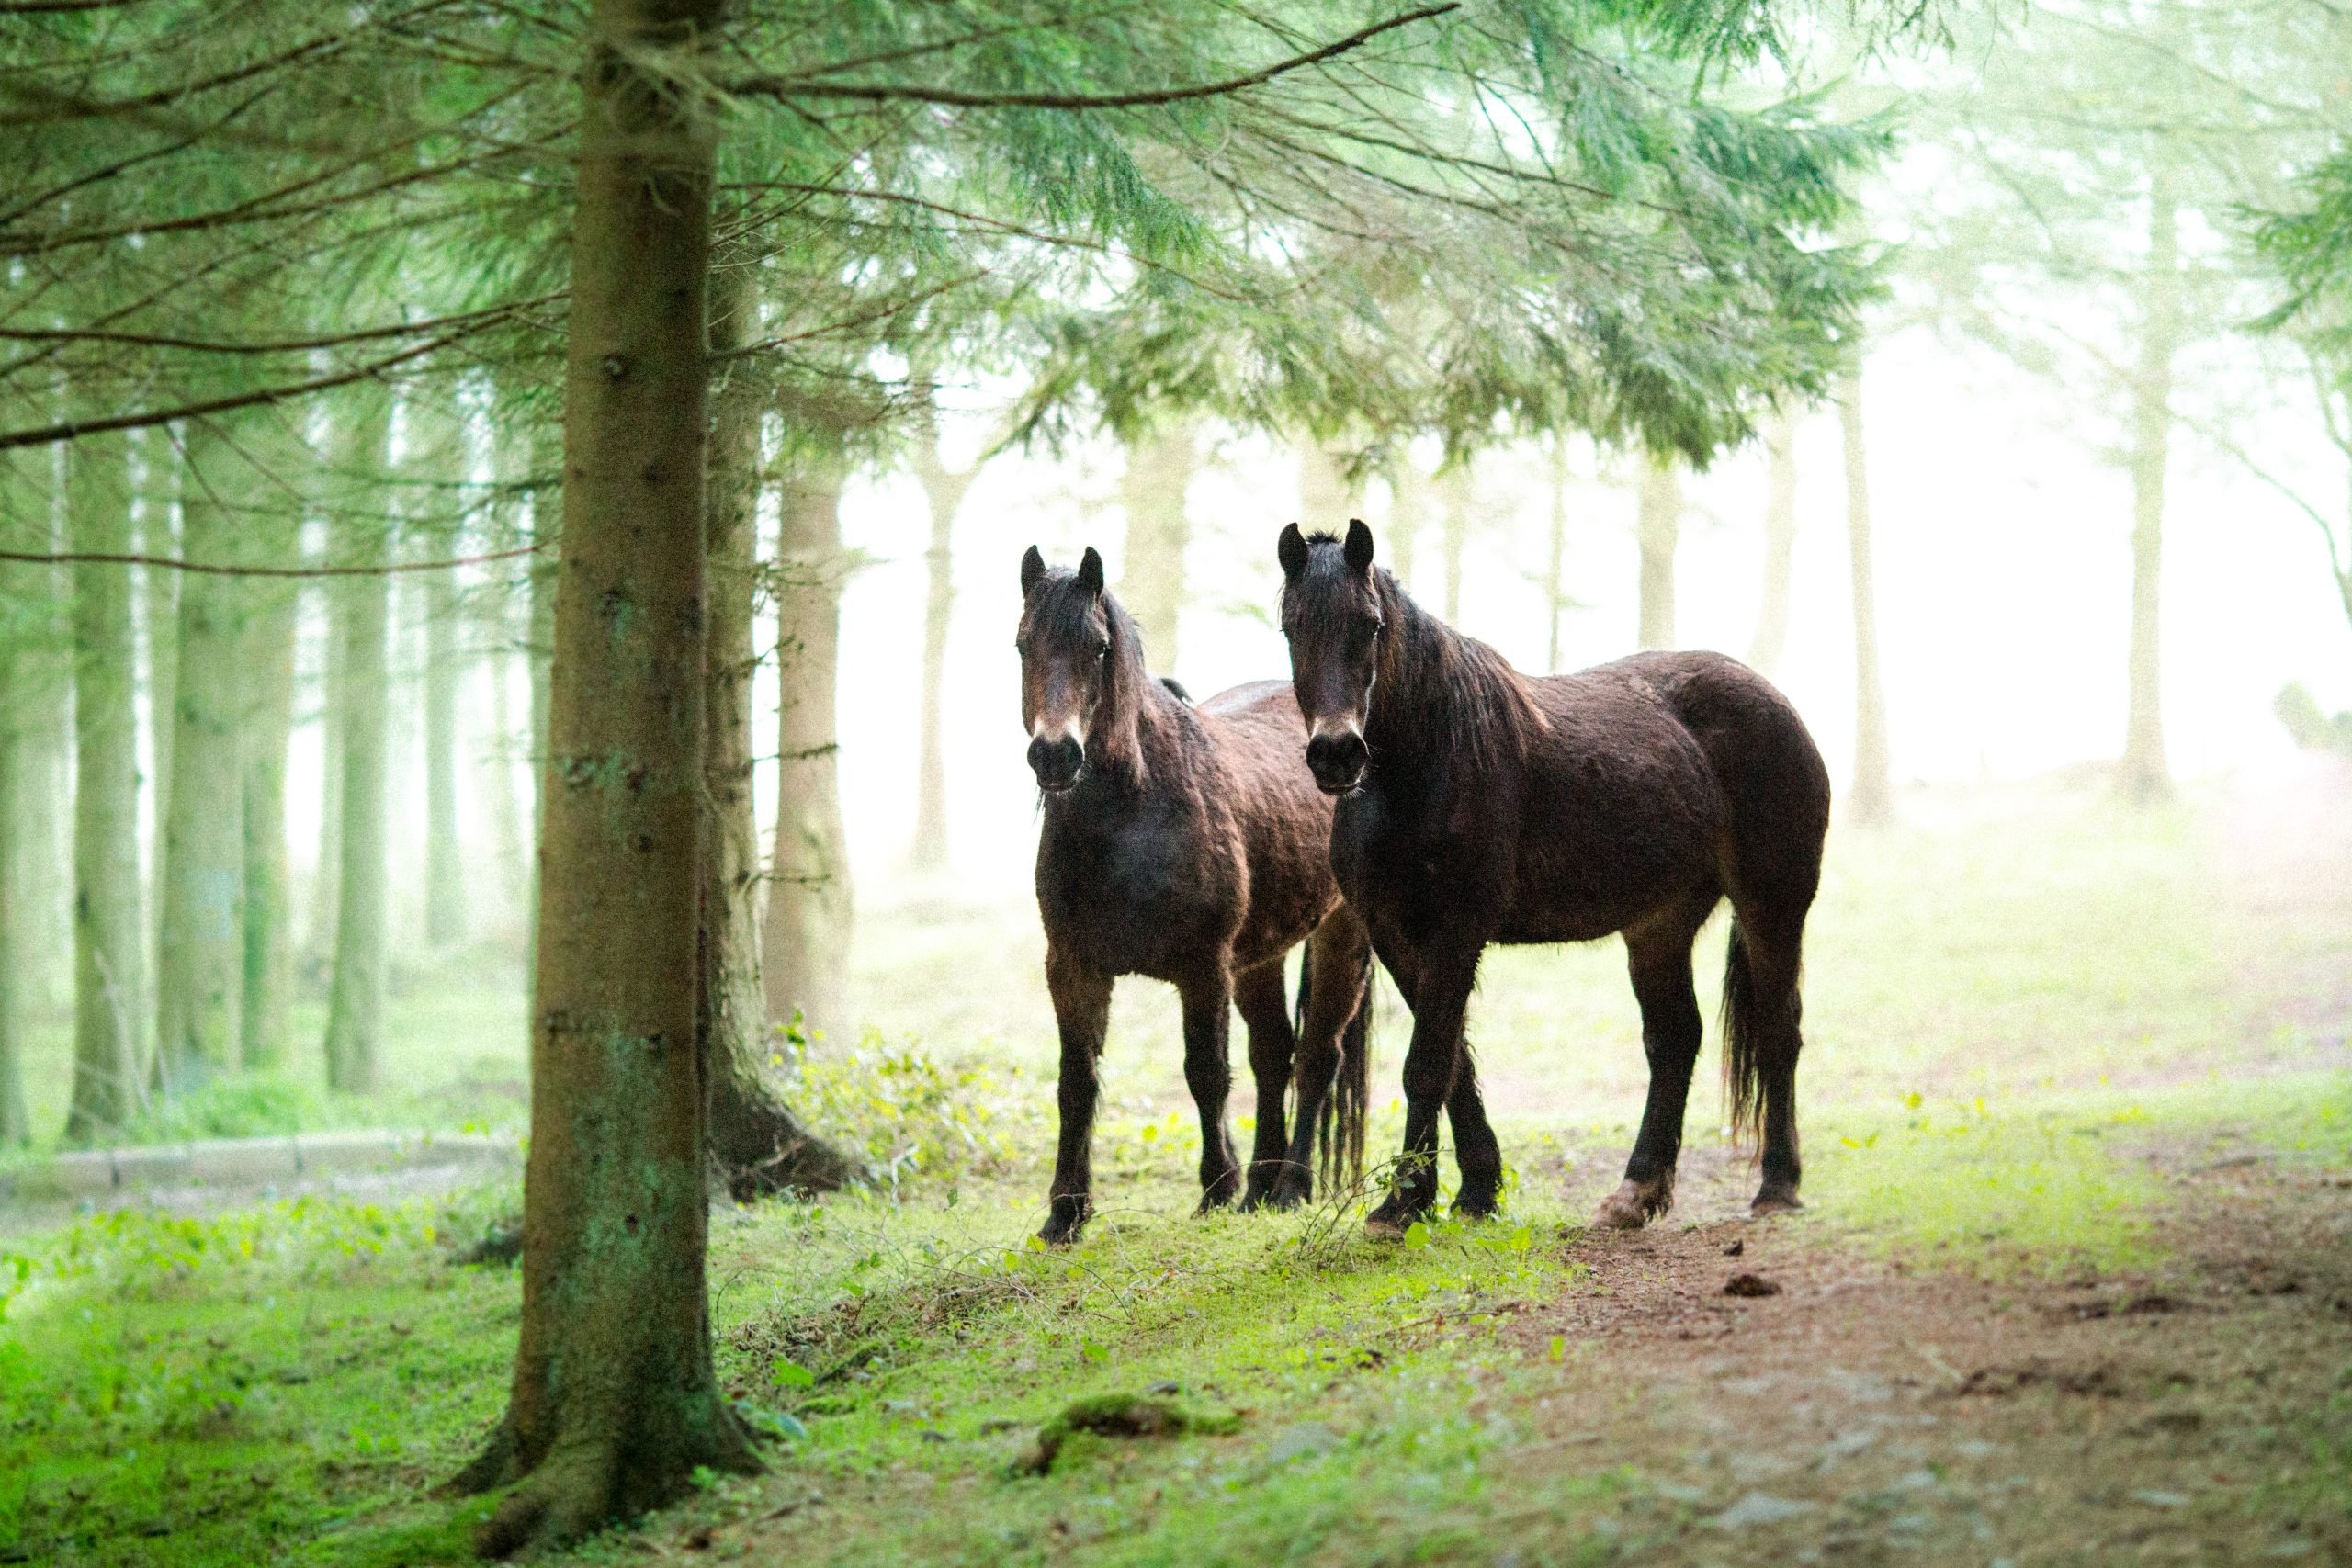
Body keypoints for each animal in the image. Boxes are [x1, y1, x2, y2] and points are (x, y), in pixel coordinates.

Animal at [1015, 545, 1374, 1241]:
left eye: (1098, 647)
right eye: (1022, 644)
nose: (1055, 755)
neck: (1131, 816)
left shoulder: (1202, 967)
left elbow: (1205, 1073)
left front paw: (1215, 1187)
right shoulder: (1072, 967)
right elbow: (1077, 1082)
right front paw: (1064, 1213)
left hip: (1340, 934)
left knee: (1317, 1054)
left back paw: (1290, 1185)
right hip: (1259, 957)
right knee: (1274, 1053)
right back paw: (1263, 1185)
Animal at [1279, 524, 1825, 1241]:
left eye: (1369, 624)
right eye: (1291, 626)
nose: (1337, 753)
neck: (1426, 759)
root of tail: (1778, 702)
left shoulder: (1456, 929)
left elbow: (1428, 1064)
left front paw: (1403, 1204)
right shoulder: (1395, 934)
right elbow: (1454, 1063)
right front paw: (1474, 1191)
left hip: (1772, 903)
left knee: (1779, 1032)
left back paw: (1778, 1185)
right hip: (1659, 923)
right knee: (1675, 1039)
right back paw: (1635, 1192)